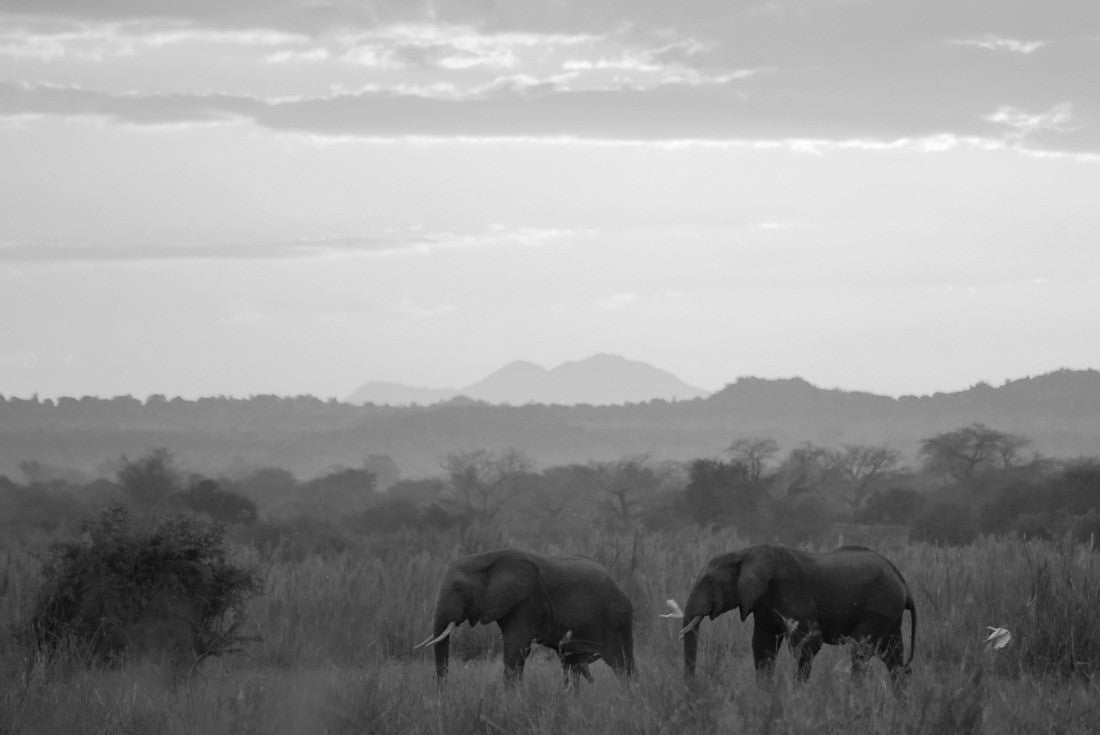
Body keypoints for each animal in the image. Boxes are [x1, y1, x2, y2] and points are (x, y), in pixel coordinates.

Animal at [415, 549, 635, 685]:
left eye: (460, 590)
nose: (442, 696)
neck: (486, 558)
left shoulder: (527, 601)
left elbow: (516, 648)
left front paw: (510, 699)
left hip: (611, 620)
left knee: (618, 662)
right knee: (577, 664)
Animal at [680, 544, 916, 683]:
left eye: (708, 581)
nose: (692, 690)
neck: (744, 553)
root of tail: (904, 583)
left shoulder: (790, 589)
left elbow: (808, 643)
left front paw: (798, 697)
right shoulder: (762, 604)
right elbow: (763, 645)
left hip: (879, 606)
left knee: (860, 651)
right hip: (890, 613)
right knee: (892, 656)